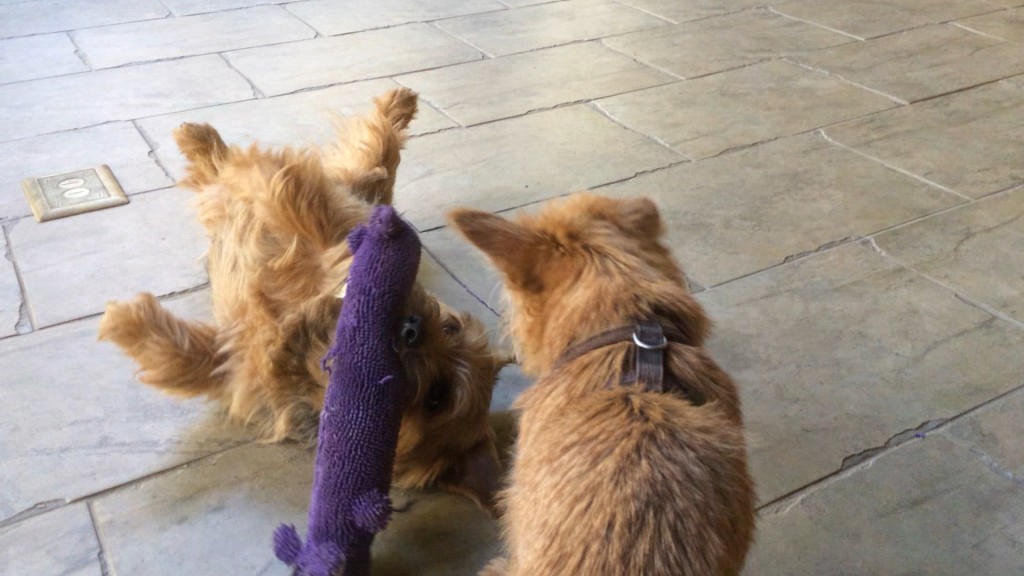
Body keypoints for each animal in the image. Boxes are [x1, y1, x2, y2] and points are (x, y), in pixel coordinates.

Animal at [97, 88, 505, 506]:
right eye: (450, 326)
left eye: (437, 398)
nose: (411, 327)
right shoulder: (324, 236)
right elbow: (294, 195)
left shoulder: (233, 362)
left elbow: (183, 359)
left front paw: (125, 321)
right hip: (356, 182)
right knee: (374, 151)